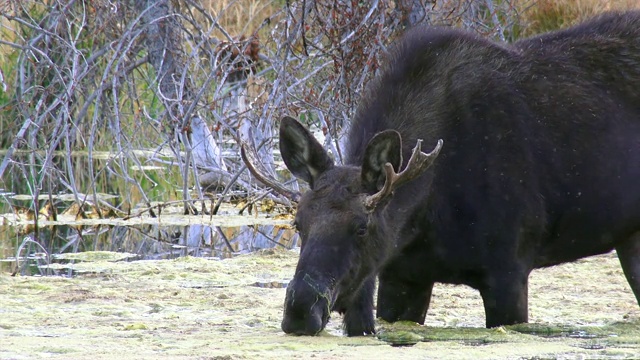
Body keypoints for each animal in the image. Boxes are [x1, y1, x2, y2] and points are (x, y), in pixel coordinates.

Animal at [242, 11, 640, 338]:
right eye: (298, 224)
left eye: (361, 228)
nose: (300, 309)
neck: (428, 215)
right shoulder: (401, 274)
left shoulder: (510, 270)